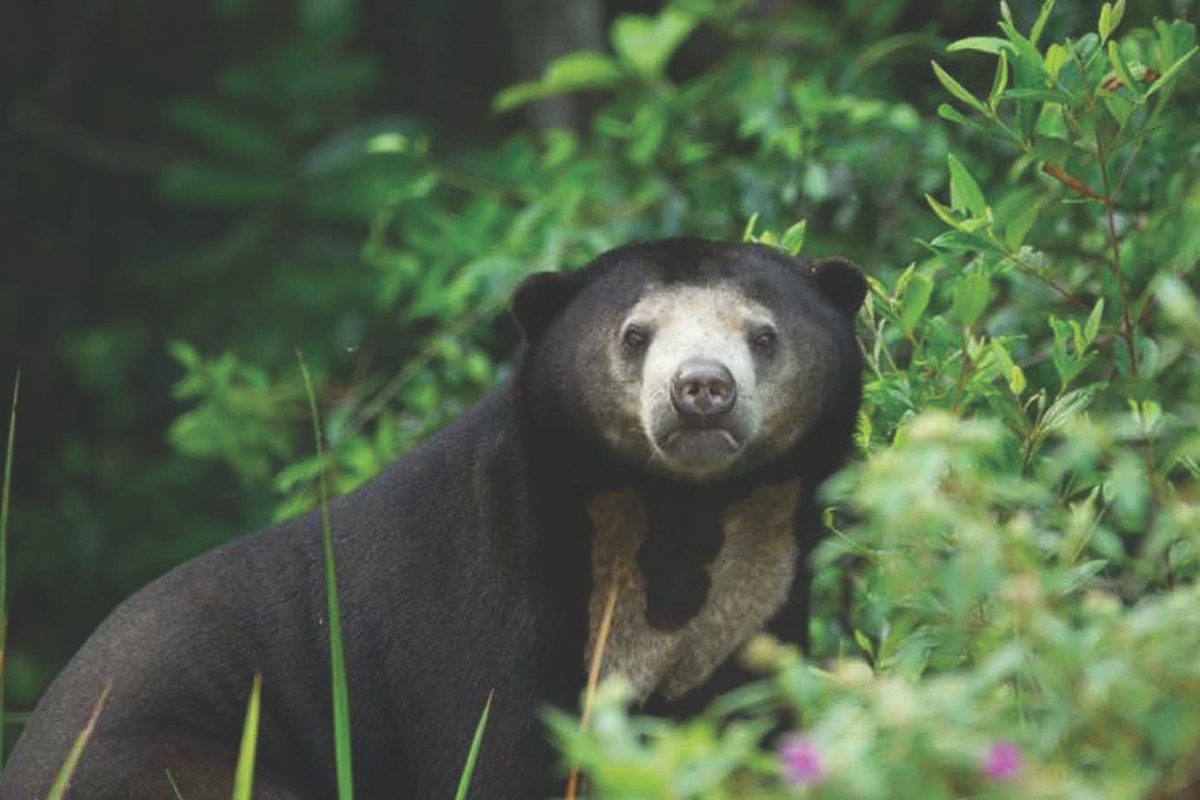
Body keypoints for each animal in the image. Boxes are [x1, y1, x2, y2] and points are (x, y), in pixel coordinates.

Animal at [0, 237, 864, 800]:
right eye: (635, 335)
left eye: (763, 335)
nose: (701, 391)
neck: (675, 515)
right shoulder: (489, 616)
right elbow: (492, 758)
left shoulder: (754, 607)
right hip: (169, 759)